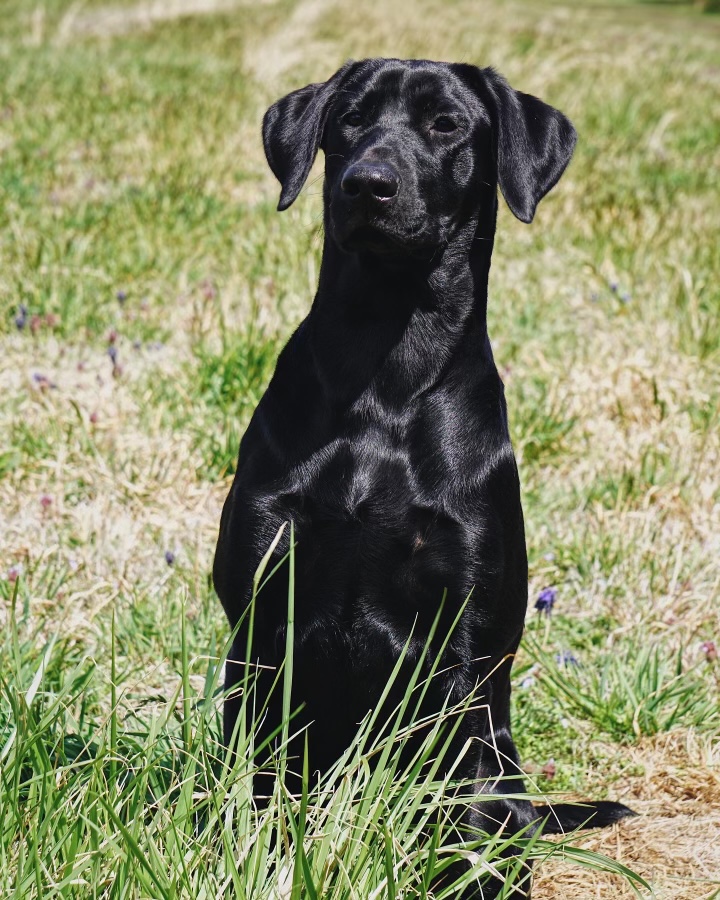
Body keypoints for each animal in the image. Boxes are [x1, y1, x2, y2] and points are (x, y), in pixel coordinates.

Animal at [211, 59, 632, 896]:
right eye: (348, 119)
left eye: (446, 124)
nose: (368, 183)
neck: (387, 367)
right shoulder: (261, 621)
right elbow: (257, 785)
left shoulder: (463, 651)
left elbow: (459, 810)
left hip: (503, 759)